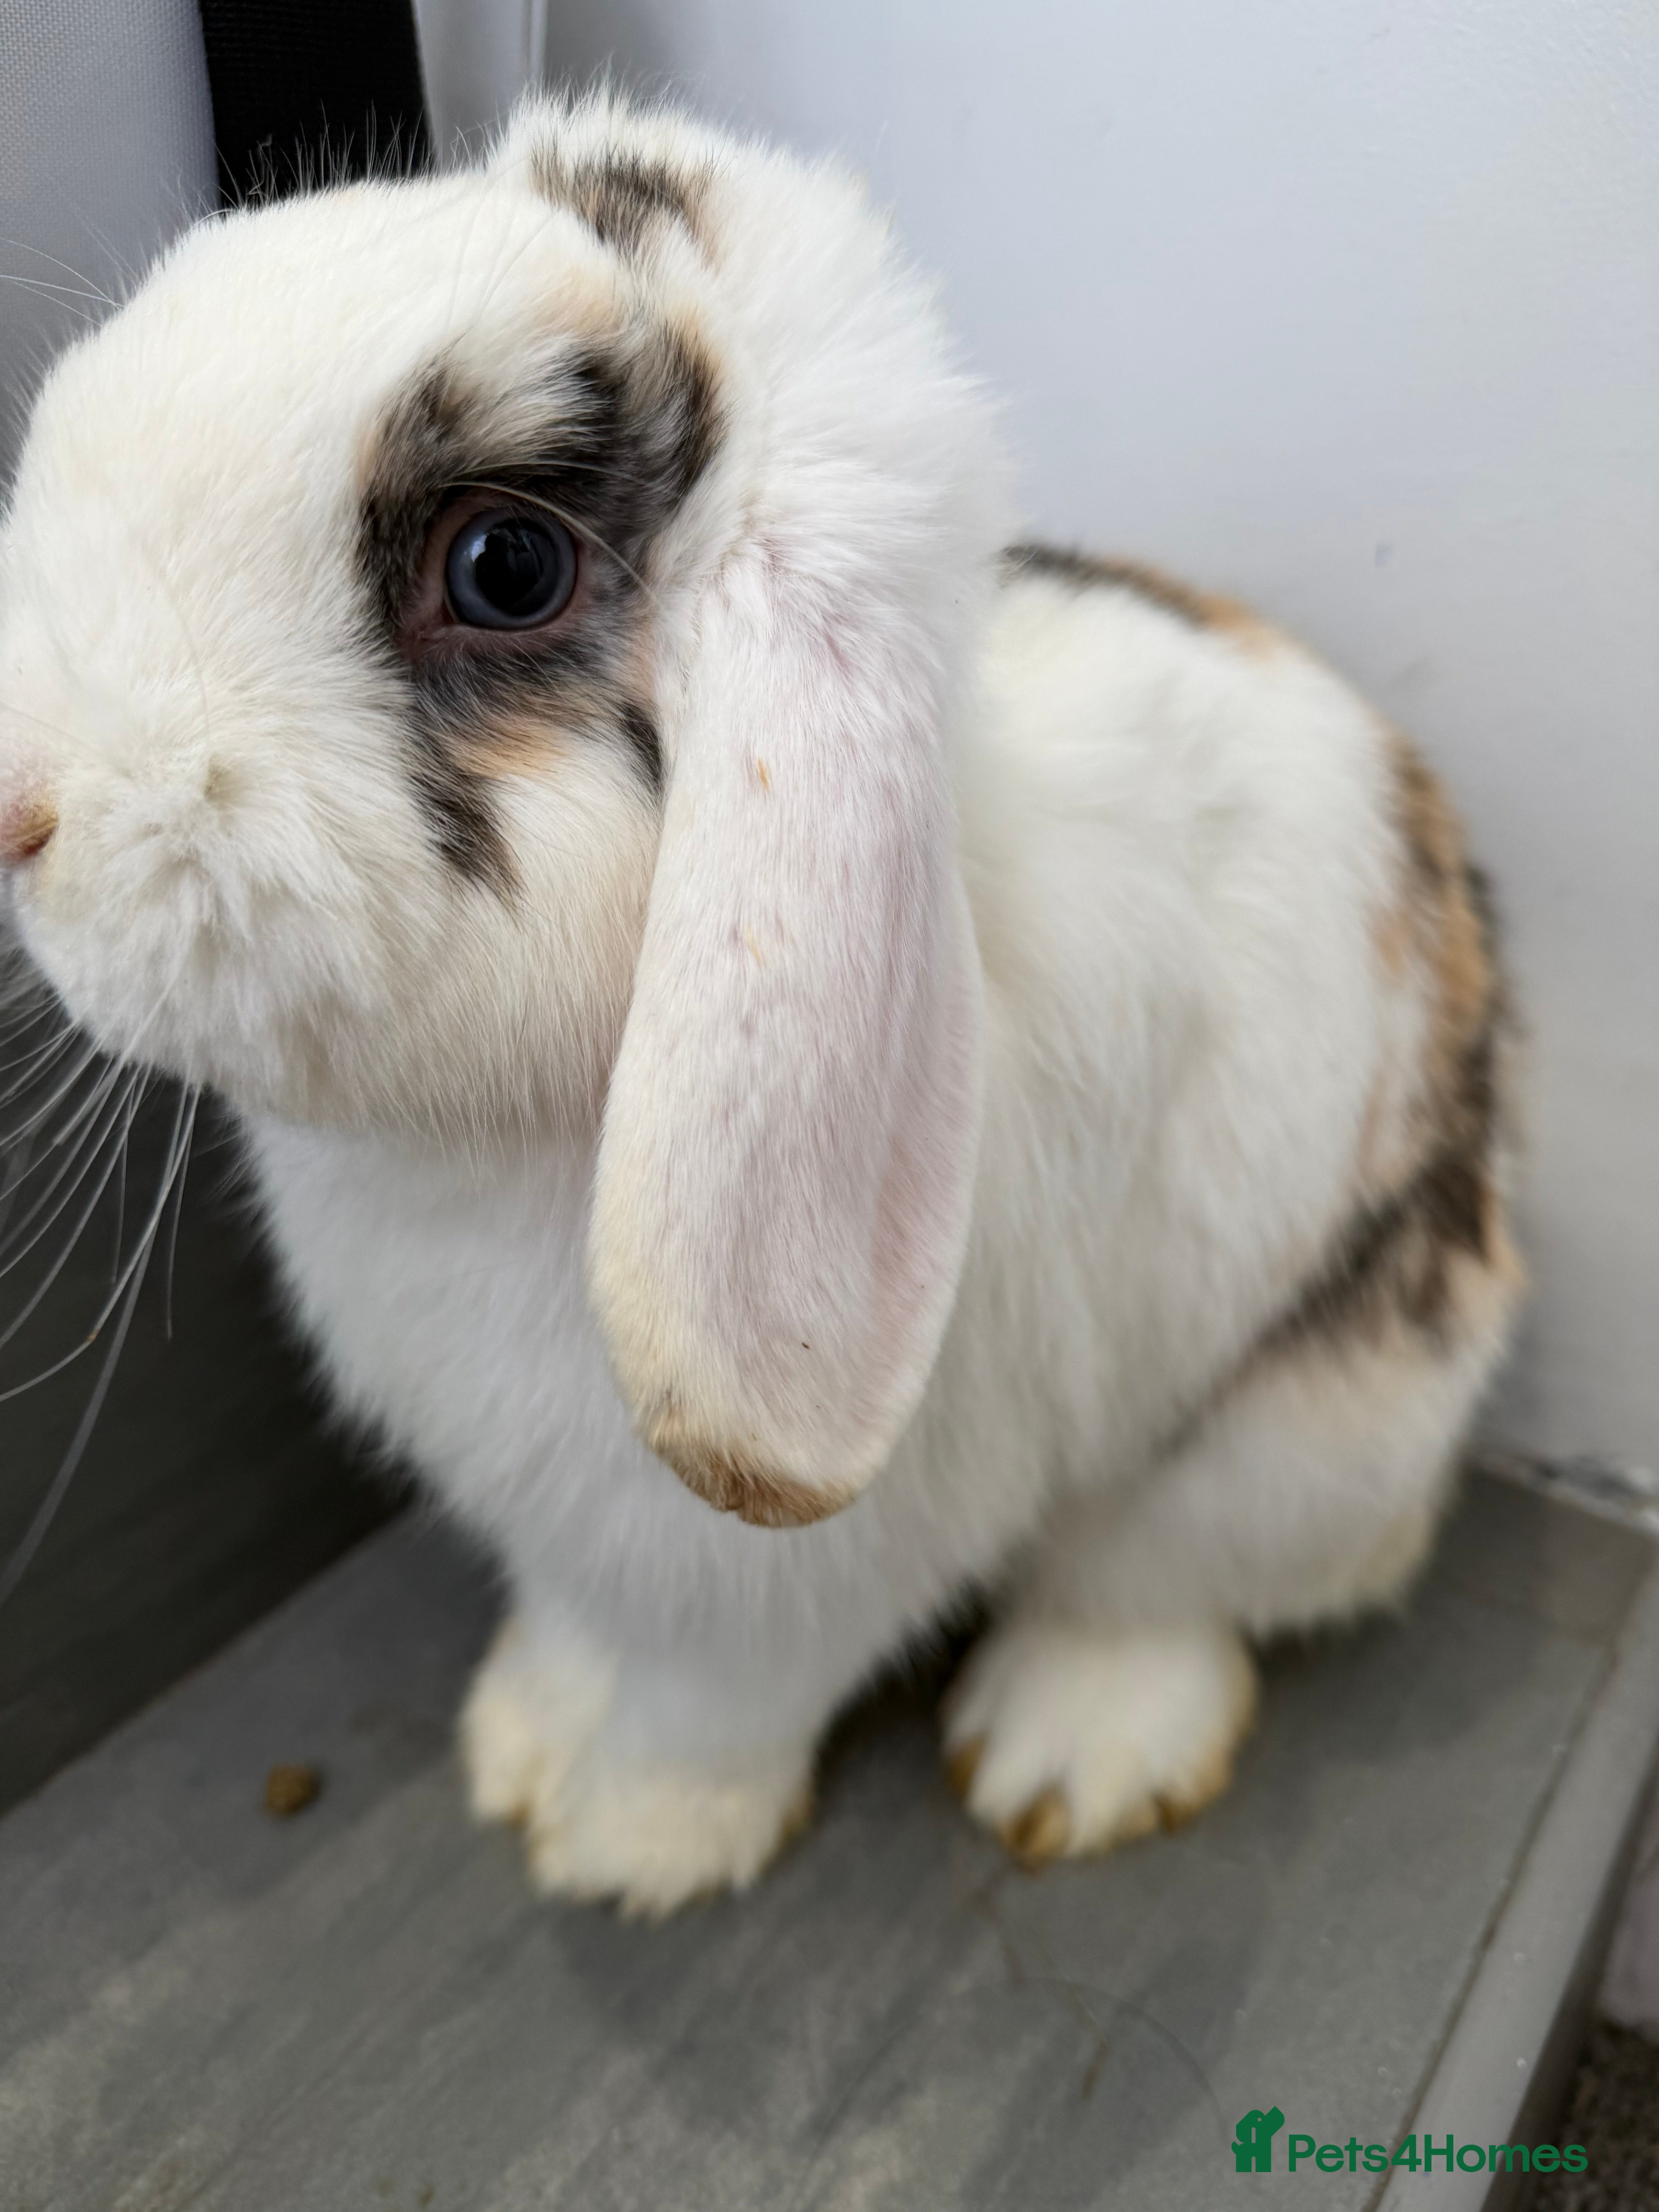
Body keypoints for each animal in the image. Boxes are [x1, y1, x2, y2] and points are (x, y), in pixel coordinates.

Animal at [0, 89, 1520, 1915]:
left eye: (502, 564)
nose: (16, 799)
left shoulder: (767, 1582)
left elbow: (705, 1709)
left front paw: (626, 1846)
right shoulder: (577, 1545)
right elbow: (579, 1643)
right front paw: (521, 1744)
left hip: (1298, 1424)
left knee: (1161, 1592)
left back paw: (1066, 1762)